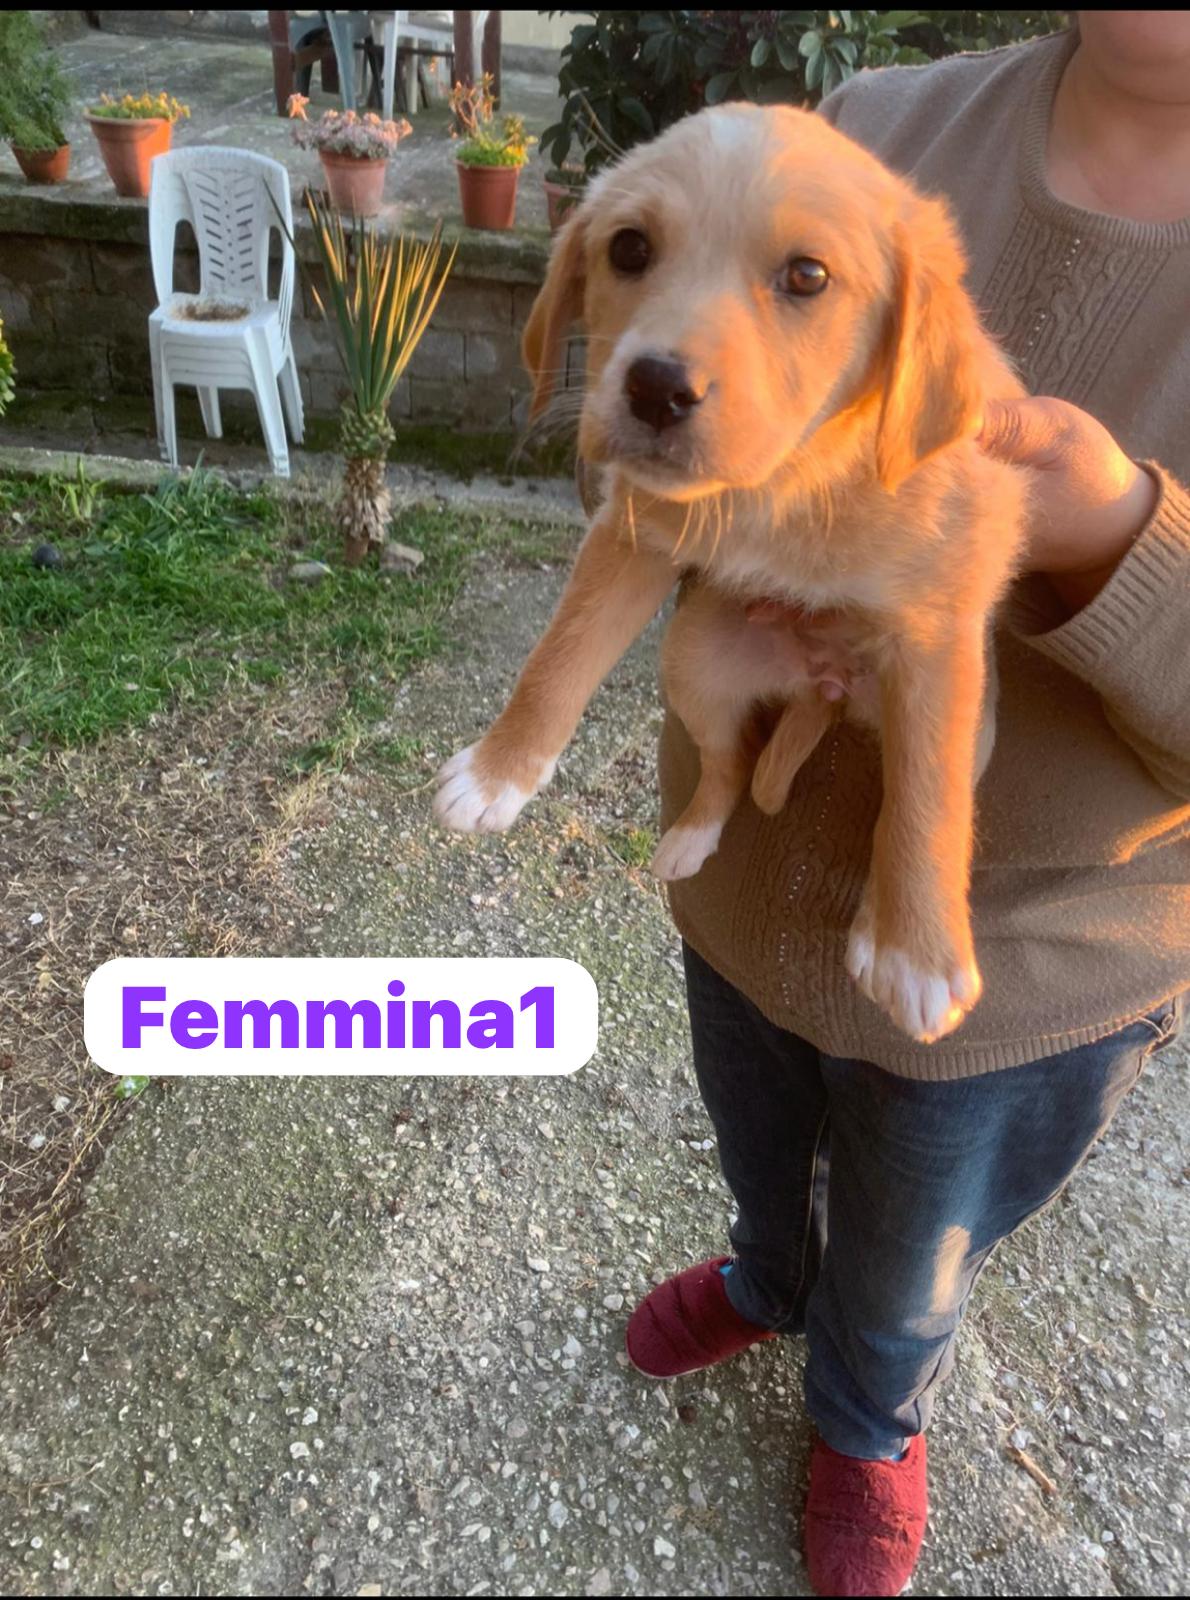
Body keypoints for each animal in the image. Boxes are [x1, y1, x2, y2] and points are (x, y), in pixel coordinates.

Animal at [433, 103, 1029, 1045]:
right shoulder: (631, 538)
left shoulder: (941, 633)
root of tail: (822, 688)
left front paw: (920, 956)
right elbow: (558, 657)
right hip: (695, 661)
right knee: (727, 765)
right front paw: (496, 775)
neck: (783, 488)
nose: (654, 389)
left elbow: (926, 803)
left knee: (903, 799)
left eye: (808, 275)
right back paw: (687, 840)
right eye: (629, 248)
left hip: (976, 725)